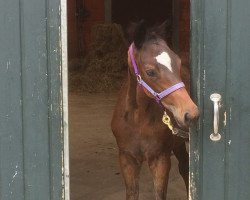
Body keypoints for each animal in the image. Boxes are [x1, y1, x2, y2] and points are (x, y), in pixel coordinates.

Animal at [111, 21, 199, 199]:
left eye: (178, 63)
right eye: (150, 71)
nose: (190, 114)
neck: (137, 120)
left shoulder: (161, 159)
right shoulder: (127, 159)